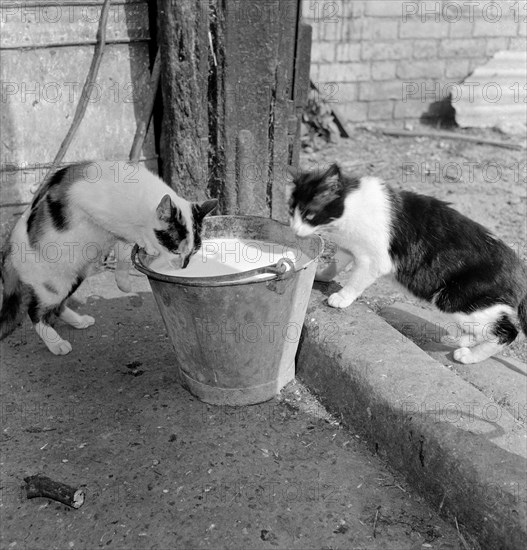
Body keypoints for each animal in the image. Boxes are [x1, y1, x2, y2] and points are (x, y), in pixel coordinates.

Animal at [0, 162, 218, 356]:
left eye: (194, 251)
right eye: (175, 251)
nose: (184, 266)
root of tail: (8, 249)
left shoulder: (116, 237)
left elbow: (124, 253)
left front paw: (123, 284)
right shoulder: (89, 203)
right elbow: (124, 228)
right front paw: (147, 243)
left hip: (74, 276)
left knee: (57, 307)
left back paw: (79, 321)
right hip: (51, 284)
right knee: (35, 313)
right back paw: (57, 344)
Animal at [288, 163, 527, 366]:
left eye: (309, 214)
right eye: (291, 211)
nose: (294, 229)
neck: (352, 208)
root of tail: (518, 268)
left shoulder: (375, 260)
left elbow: (356, 280)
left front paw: (342, 297)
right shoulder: (350, 246)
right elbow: (338, 262)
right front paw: (321, 274)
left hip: (454, 298)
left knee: (507, 332)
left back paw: (469, 356)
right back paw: (460, 340)